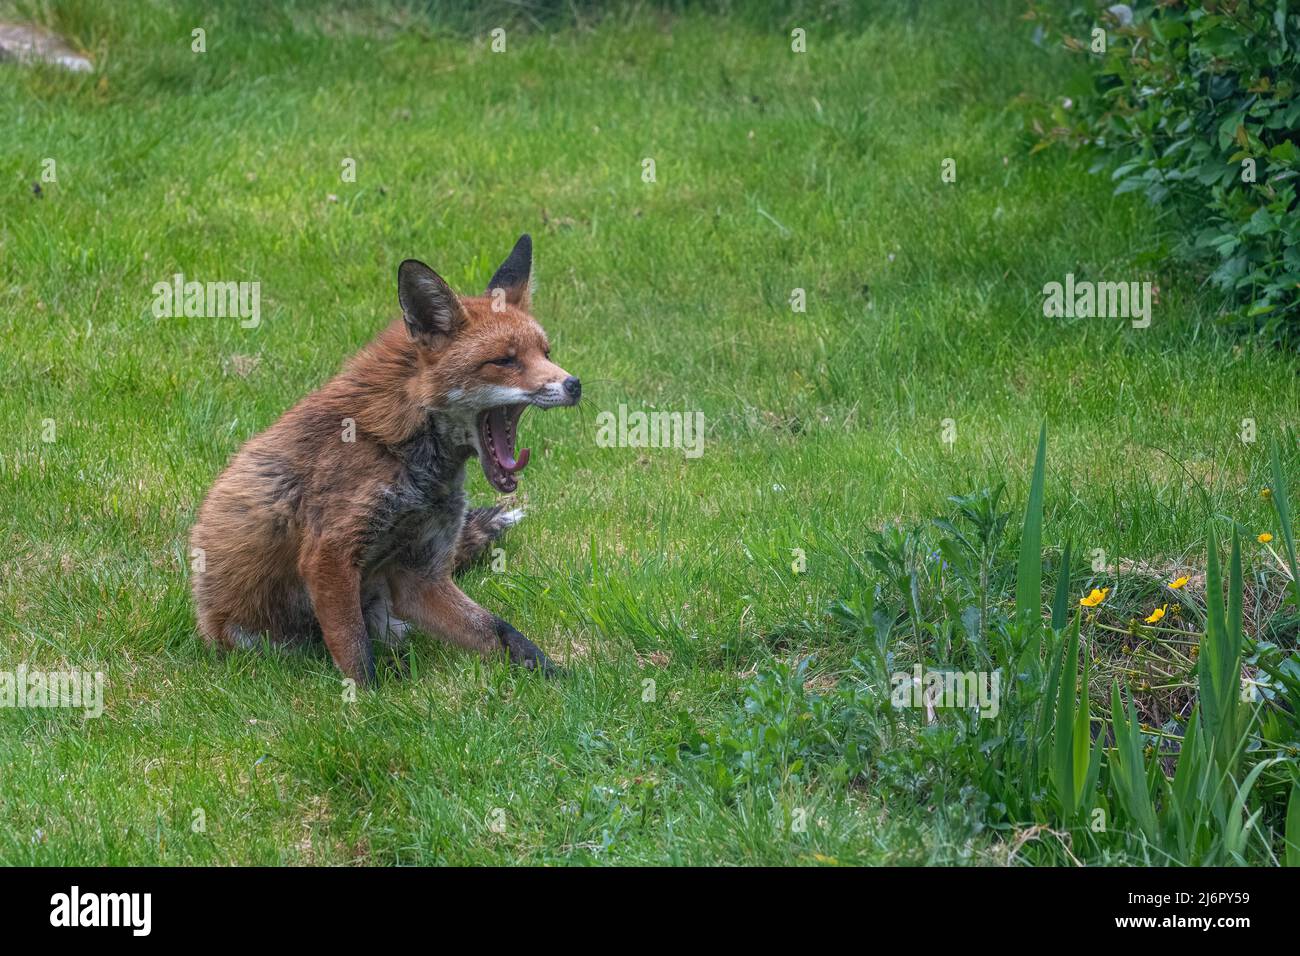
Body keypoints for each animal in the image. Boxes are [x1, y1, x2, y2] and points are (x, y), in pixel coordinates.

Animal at [189, 239, 579, 686]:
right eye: (505, 360)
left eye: (546, 353)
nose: (575, 384)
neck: (402, 449)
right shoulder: (329, 554)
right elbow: (356, 653)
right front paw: (367, 701)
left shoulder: (419, 575)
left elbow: (502, 633)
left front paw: (566, 682)